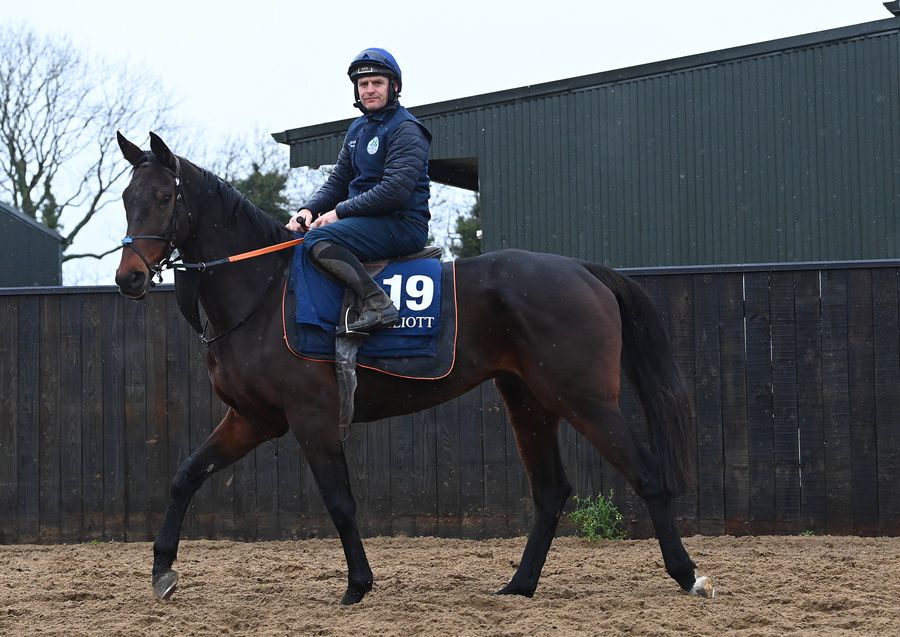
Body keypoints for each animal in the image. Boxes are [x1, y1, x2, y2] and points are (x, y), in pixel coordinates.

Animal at [114, 132, 716, 604]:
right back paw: (519, 585)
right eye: (126, 197)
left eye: (165, 197)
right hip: (529, 401)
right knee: (551, 490)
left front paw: (357, 584)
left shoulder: (311, 417)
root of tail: (584, 271)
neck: (262, 294)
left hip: (584, 399)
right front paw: (163, 571)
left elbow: (340, 502)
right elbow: (186, 475)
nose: (129, 278)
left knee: (646, 474)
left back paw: (689, 575)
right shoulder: (253, 418)